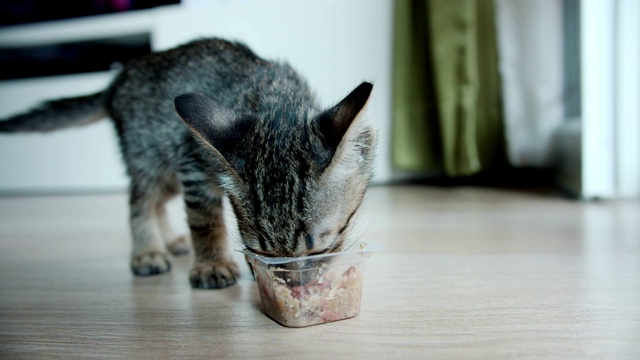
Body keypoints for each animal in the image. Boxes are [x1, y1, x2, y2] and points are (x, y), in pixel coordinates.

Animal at [0, 37, 376, 290]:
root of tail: (119, 79)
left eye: (320, 250)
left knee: (159, 201)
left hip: (166, 168)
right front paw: (212, 264)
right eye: (260, 250)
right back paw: (148, 251)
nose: (295, 286)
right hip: (150, 155)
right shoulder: (192, 164)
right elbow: (204, 221)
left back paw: (171, 241)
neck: (272, 98)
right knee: (140, 201)